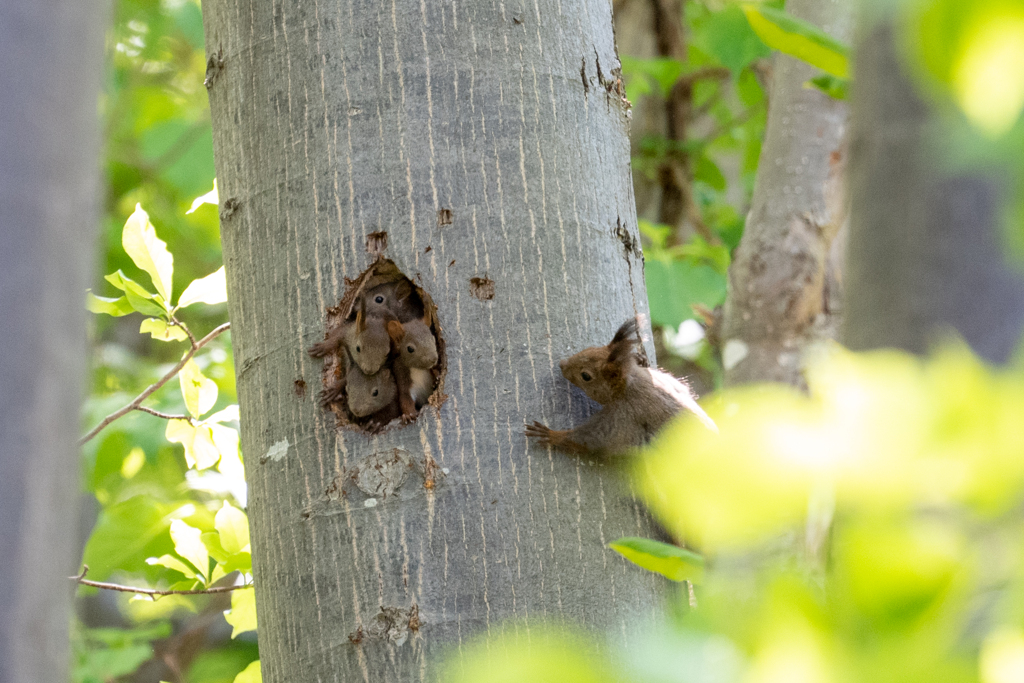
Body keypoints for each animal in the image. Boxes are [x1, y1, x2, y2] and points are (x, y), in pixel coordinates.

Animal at [524, 317, 716, 456]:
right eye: (592, 348)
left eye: (586, 376)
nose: (562, 364)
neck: (630, 383)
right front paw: (639, 359)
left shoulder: (625, 415)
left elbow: (595, 441)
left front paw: (551, 434)